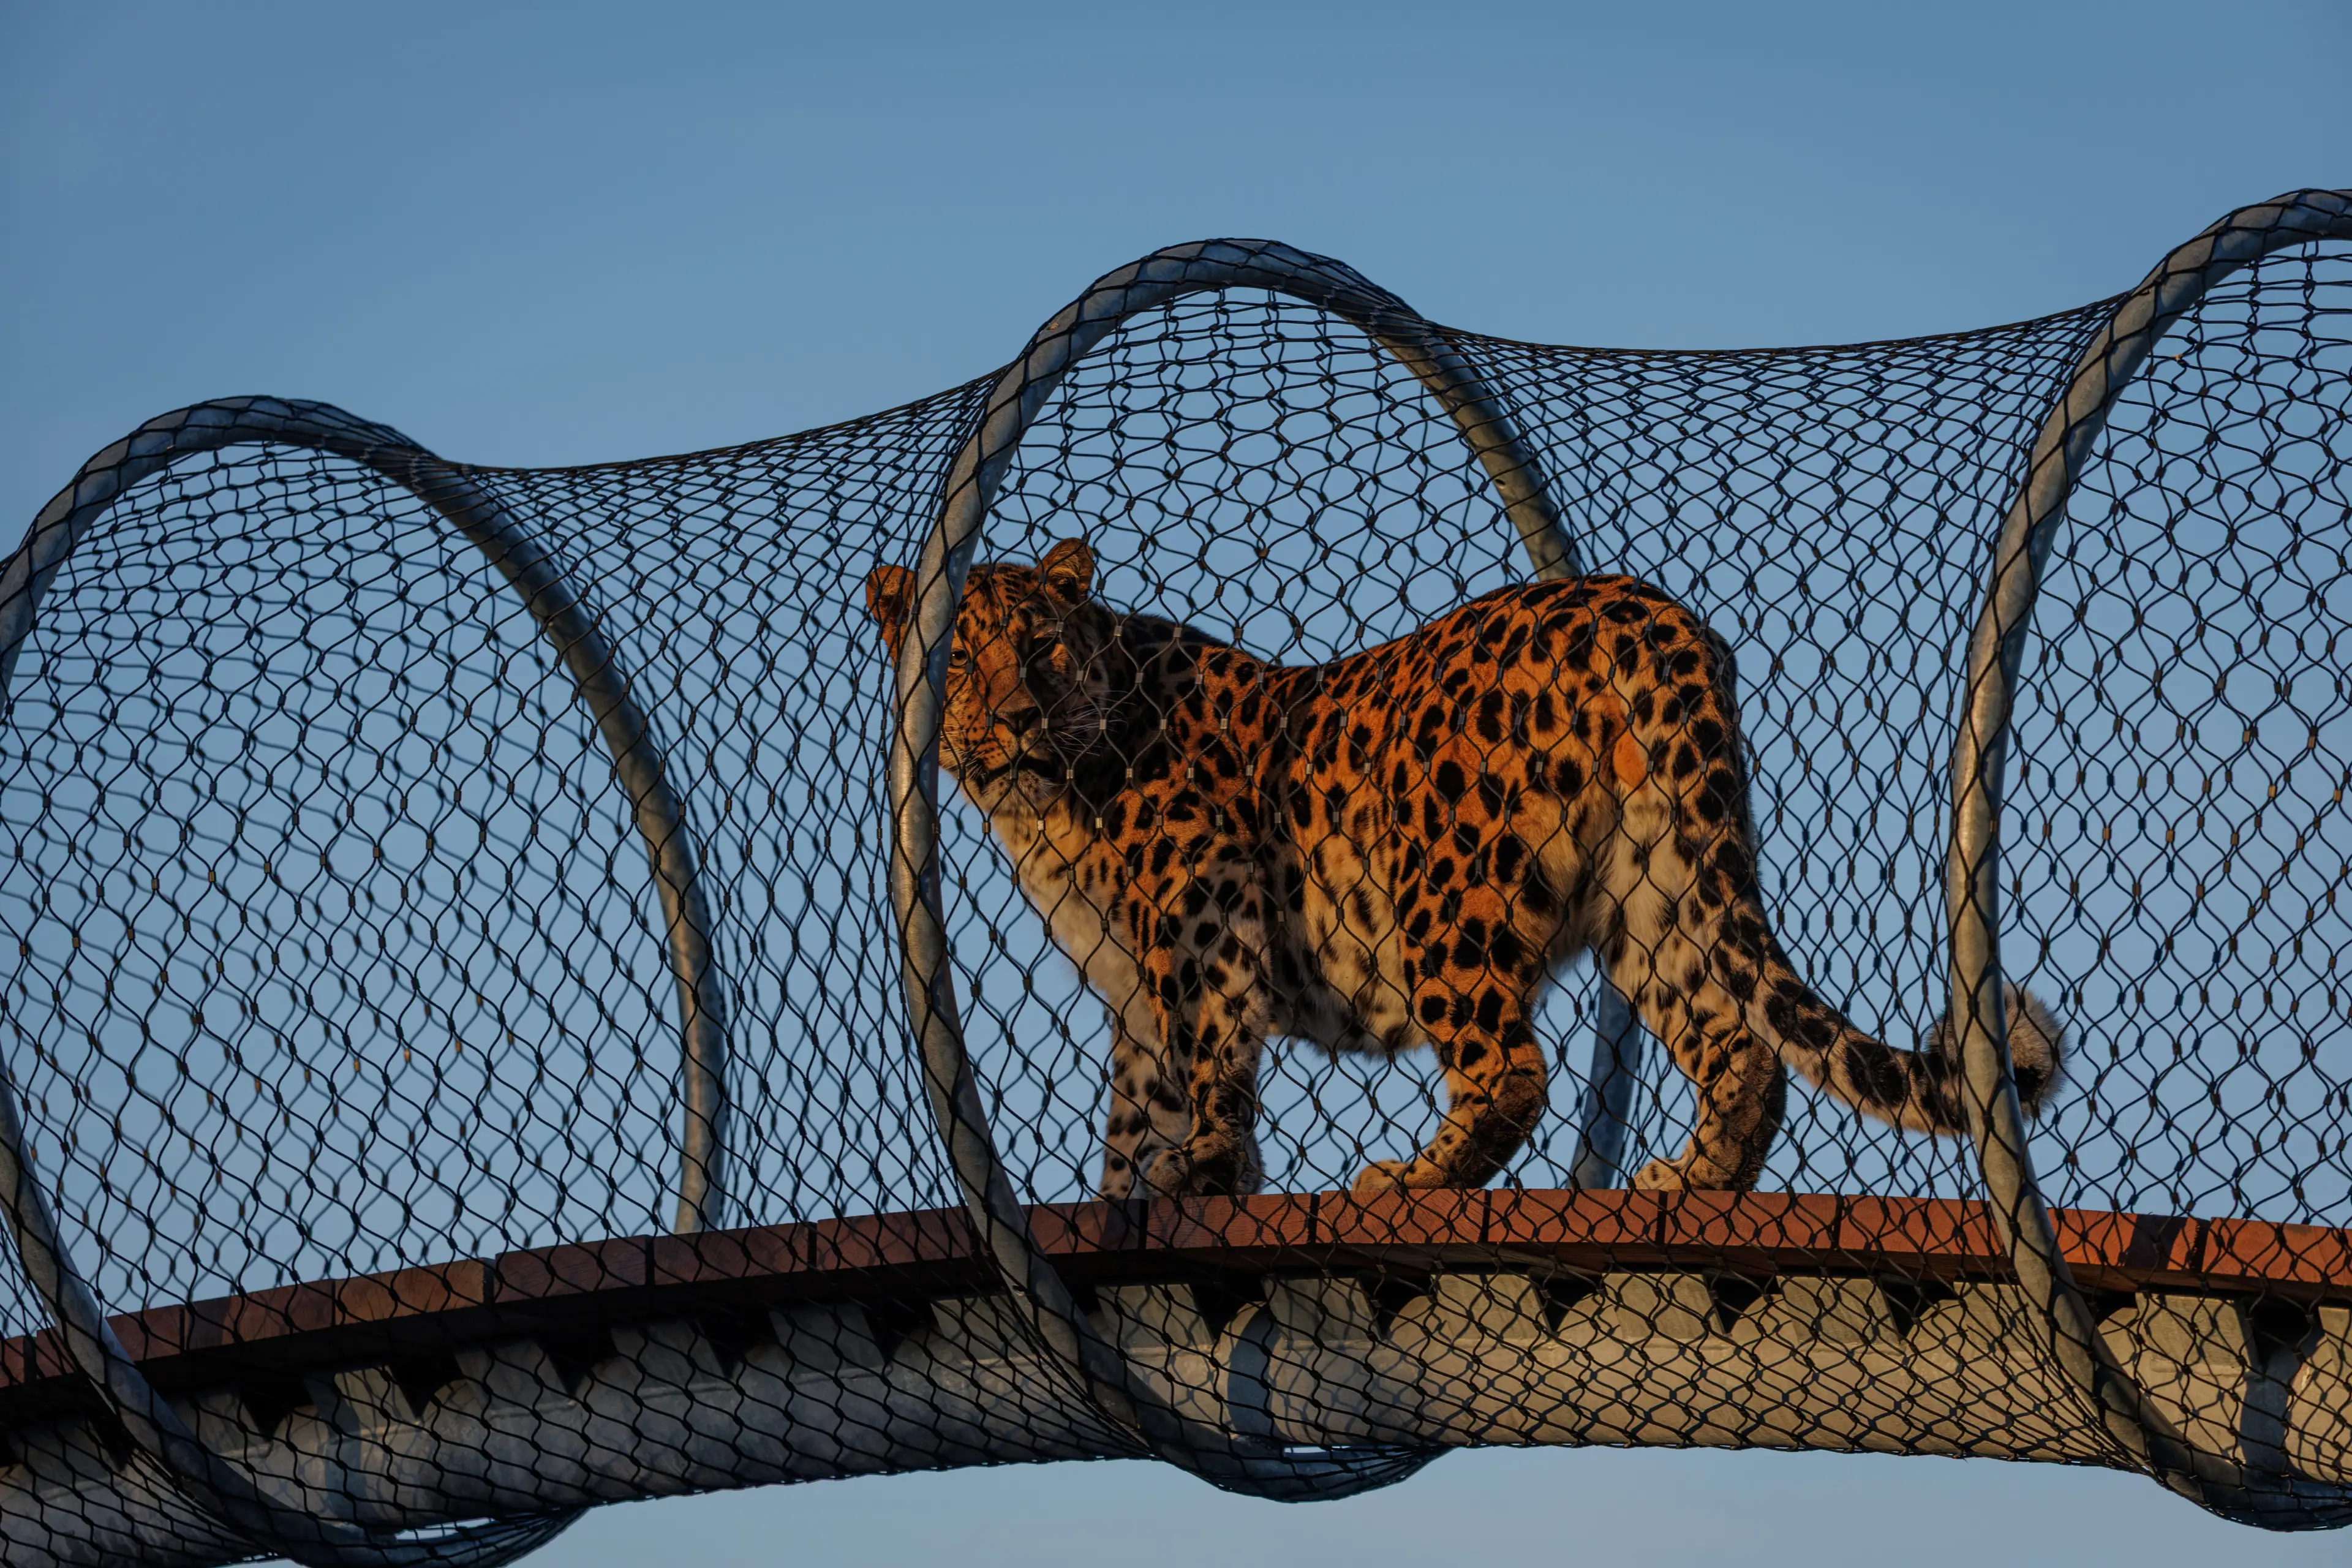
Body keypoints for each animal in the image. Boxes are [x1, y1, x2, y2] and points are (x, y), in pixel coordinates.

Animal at [864, 538, 2062, 1199]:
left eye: (1043, 650)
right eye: (960, 659)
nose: (1018, 718)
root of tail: (1646, 610)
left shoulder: (1205, 898)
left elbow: (1208, 1066)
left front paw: (1208, 1179)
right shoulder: (1133, 981)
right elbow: (1138, 1106)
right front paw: (1133, 1198)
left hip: (1448, 894)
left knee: (1513, 1068)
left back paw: (1414, 1177)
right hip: (1658, 887)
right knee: (1744, 1048)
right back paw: (1697, 1179)